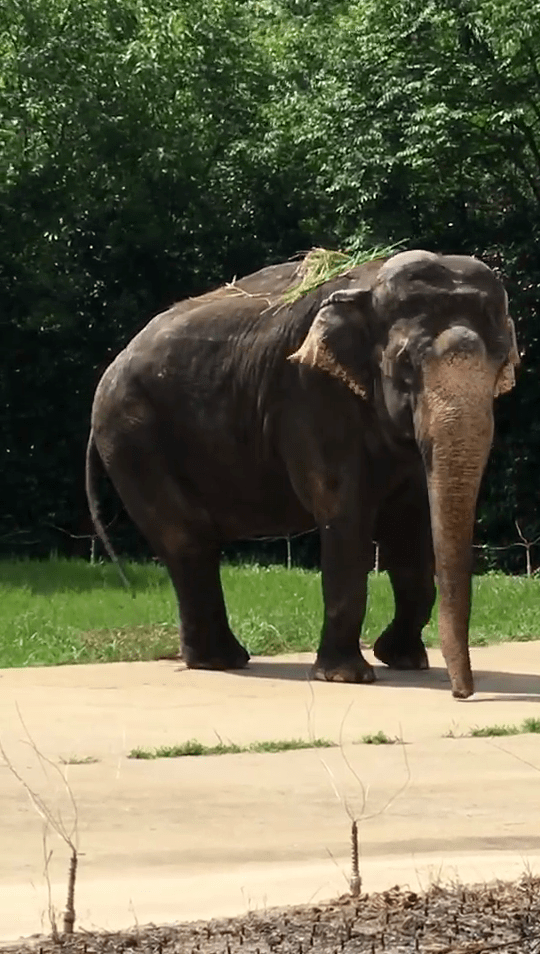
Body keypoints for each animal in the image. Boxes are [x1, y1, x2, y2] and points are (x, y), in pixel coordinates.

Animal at [86, 251, 520, 700]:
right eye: (404, 366)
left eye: (501, 364)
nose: (463, 693)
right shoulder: (310, 395)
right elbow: (344, 514)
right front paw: (347, 677)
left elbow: (409, 526)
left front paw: (404, 661)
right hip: (132, 435)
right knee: (186, 539)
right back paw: (219, 661)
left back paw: (223, 659)